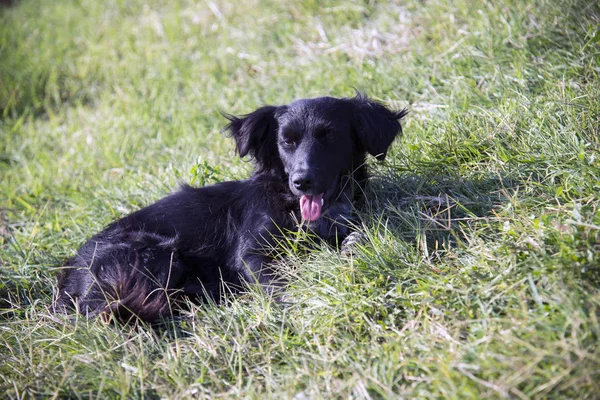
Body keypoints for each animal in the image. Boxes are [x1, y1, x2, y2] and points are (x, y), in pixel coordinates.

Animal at [55, 95, 408, 324]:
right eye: (287, 141)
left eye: (329, 137)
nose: (302, 181)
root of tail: (71, 279)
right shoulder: (251, 252)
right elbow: (277, 280)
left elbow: (356, 236)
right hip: (154, 253)